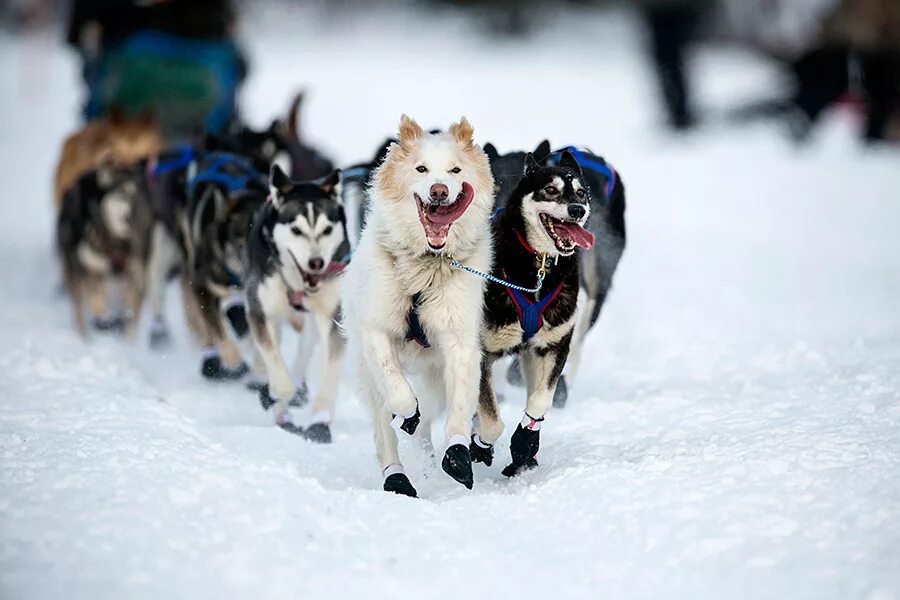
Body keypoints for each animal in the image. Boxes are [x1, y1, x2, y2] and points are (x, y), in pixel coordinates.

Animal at [342, 116, 492, 496]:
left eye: (455, 170)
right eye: (421, 169)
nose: (439, 191)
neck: (426, 266)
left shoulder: (459, 343)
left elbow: (459, 407)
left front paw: (457, 454)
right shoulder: (377, 331)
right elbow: (397, 391)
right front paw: (406, 413)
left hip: (434, 375)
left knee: (427, 427)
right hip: (367, 376)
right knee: (385, 430)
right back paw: (396, 477)